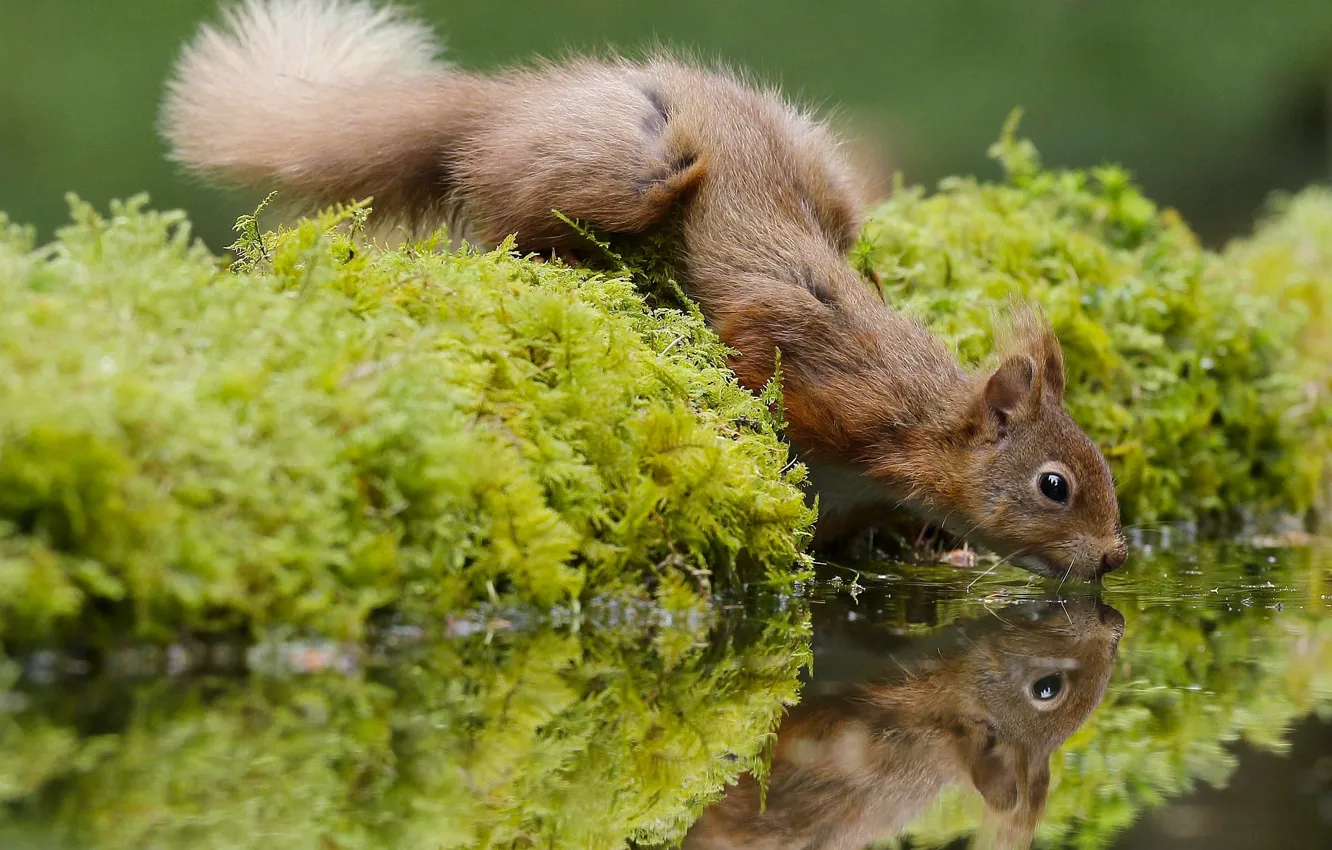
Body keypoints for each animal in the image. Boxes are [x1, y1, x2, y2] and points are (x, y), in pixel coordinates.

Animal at [161, 0, 1129, 580]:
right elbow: (753, 348)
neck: (916, 424)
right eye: (1054, 486)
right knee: (507, 216)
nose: (1118, 558)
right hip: (633, 168)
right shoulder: (811, 351)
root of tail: (514, 102)